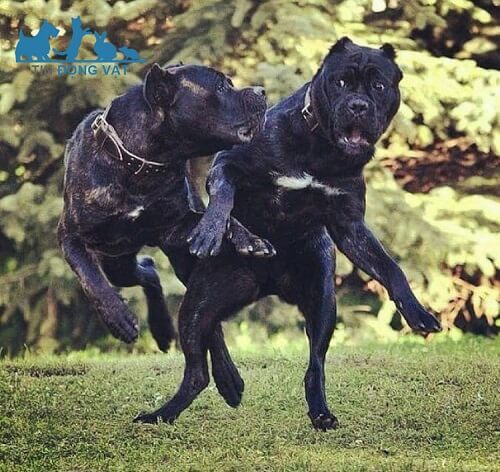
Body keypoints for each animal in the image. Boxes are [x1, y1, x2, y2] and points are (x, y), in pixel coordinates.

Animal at [134, 39, 442, 432]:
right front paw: (213, 230)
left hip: (323, 303)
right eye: (341, 82)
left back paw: (320, 412)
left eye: (378, 86)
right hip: (197, 306)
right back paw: (163, 413)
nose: (358, 106)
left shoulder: (350, 225)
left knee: (315, 365)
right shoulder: (230, 162)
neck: (320, 148)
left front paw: (418, 313)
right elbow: (224, 194)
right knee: (197, 368)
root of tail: (268, 284)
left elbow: (390, 267)